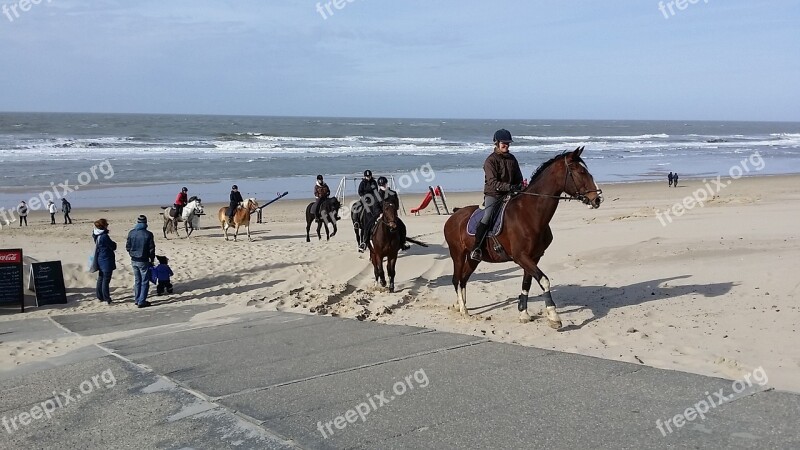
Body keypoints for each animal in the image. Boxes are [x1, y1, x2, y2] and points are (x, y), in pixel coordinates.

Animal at [440, 149, 604, 328]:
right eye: (580, 172)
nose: (597, 199)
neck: (530, 213)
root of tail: (454, 216)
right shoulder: (521, 257)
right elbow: (544, 280)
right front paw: (553, 316)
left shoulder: (534, 257)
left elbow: (527, 283)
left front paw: (524, 313)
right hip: (457, 254)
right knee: (456, 279)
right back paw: (463, 309)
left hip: (473, 258)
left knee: (463, 279)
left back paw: (460, 305)